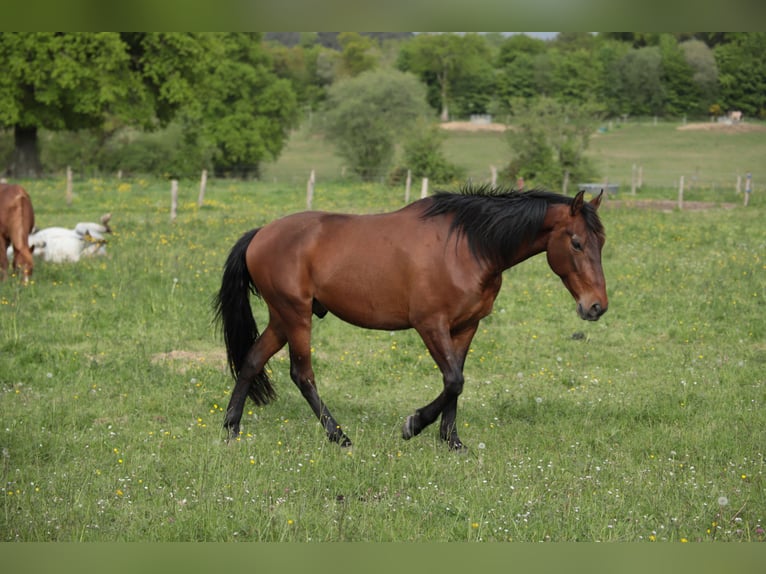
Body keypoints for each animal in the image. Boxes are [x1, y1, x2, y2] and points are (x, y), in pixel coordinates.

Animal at [214, 185, 607, 450]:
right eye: (576, 242)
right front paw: (413, 424)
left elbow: (457, 380)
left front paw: (452, 441)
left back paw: (231, 429)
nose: (596, 306)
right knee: (302, 374)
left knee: (251, 360)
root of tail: (260, 234)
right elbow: (453, 380)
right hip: (296, 316)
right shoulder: (430, 324)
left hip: (283, 318)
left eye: (601, 243)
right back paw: (338, 436)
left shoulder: (466, 327)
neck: (467, 247)